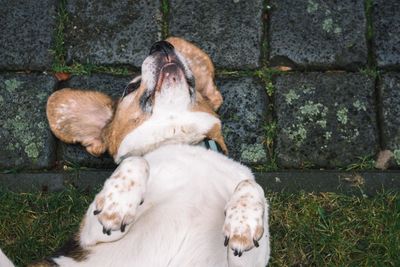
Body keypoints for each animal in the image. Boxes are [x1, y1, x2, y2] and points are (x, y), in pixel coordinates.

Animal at [0, 37, 272, 267]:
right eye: (130, 88)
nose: (162, 46)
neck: (182, 142)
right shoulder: (91, 235)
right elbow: (137, 162)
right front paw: (117, 203)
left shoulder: (246, 259)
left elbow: (250, 184)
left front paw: (243, 222)